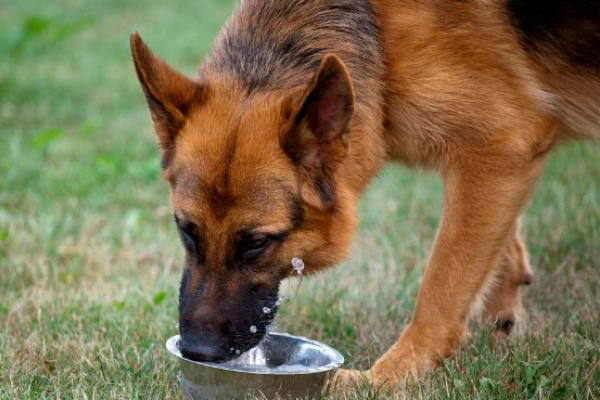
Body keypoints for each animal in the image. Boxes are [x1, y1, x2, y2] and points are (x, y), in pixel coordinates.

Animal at [131, 0, 600, 392]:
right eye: (185, 230)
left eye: (257, 243)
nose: (197, 351)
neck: (380, 34)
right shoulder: (501, 164)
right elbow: (489, 244)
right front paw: (503, 298)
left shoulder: (499, 146)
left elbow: (442, 286)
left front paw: (387, 379)